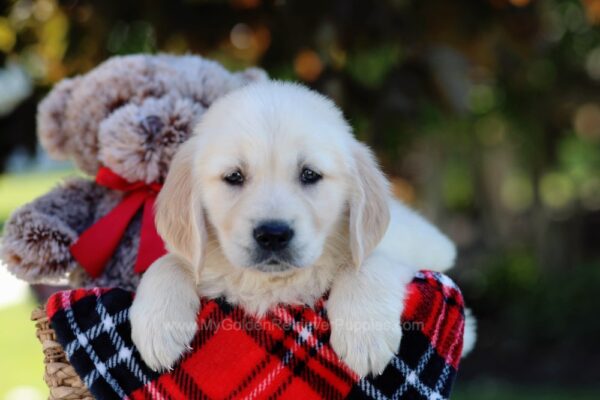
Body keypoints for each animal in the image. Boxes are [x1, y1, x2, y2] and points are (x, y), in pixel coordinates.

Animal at [131, 82, 458, 378]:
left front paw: (364, 335)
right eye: (234, 176)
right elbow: (169, 262)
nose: (273, 235)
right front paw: (158, 326)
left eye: (309, 174)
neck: (274, 283)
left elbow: (366, 262)